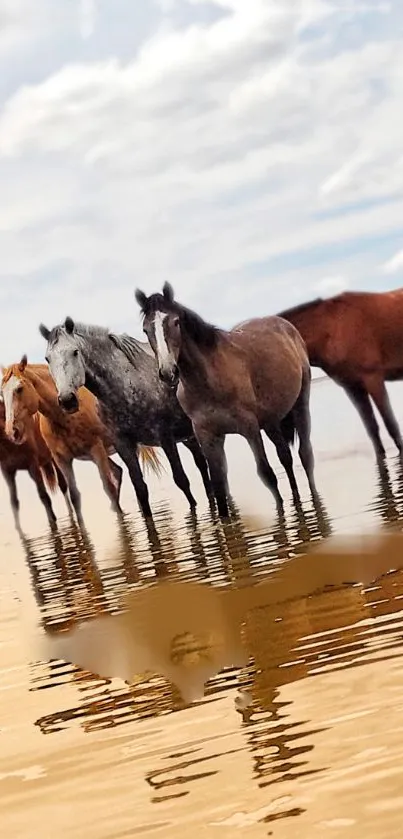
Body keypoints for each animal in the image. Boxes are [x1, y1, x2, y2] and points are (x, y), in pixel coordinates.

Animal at [0, 398, 68, 528]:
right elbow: (14, 502)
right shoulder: (8, 472)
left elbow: (43, 495)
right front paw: (19, 530)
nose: (14, 433)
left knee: (63, 485)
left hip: (54, 459)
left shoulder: (33, 466)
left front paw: (52, 521)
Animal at [39, 320, 213, 520]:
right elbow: (140, 489)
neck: (124, 385)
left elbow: (181, 480)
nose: (67, 400)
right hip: (188, 437)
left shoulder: (165, 437)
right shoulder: (123, 444)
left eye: (75, 351)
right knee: (202, 464)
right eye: (47, 359)